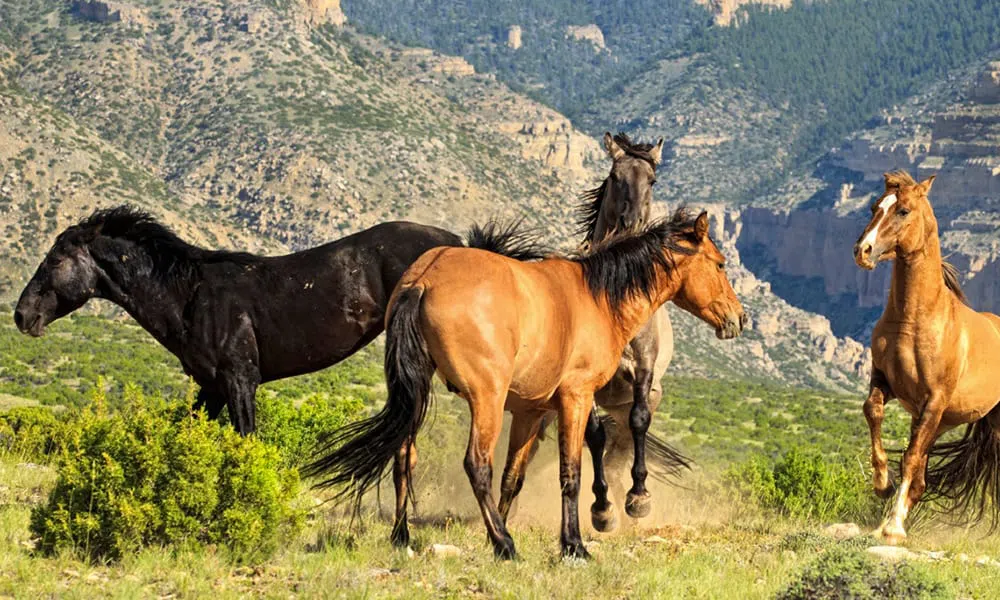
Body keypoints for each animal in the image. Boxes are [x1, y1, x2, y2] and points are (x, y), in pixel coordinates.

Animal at [10, 209, 472, 434]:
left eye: (56, 260)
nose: (21, 314)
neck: (190, 296)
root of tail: (456, 242)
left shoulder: (239, 380)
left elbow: (246, 439)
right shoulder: (212, 387)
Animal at [308, 210, 748, 556]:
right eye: (720, 263)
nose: (739, 318)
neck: (598, 297)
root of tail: (423, 280)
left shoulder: (530, 412)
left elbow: (513, 478)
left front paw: (498, 532)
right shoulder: (576, 398)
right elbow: (571, 474)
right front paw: (574, 544)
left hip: (416, 390)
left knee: (404, 456)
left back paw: (404, 537)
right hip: (485, 398)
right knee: (475, 465)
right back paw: (506, 546)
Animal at [852, 170, 1000, 544]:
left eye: (903, 210)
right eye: (875, 207)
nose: (863, 250)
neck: (916, 319)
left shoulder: (933, 401)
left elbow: (912, 456)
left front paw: (893, 527)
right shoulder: (887, 383)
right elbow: (873, 412)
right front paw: (883, 484)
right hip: (943, 421)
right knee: (920, 478)